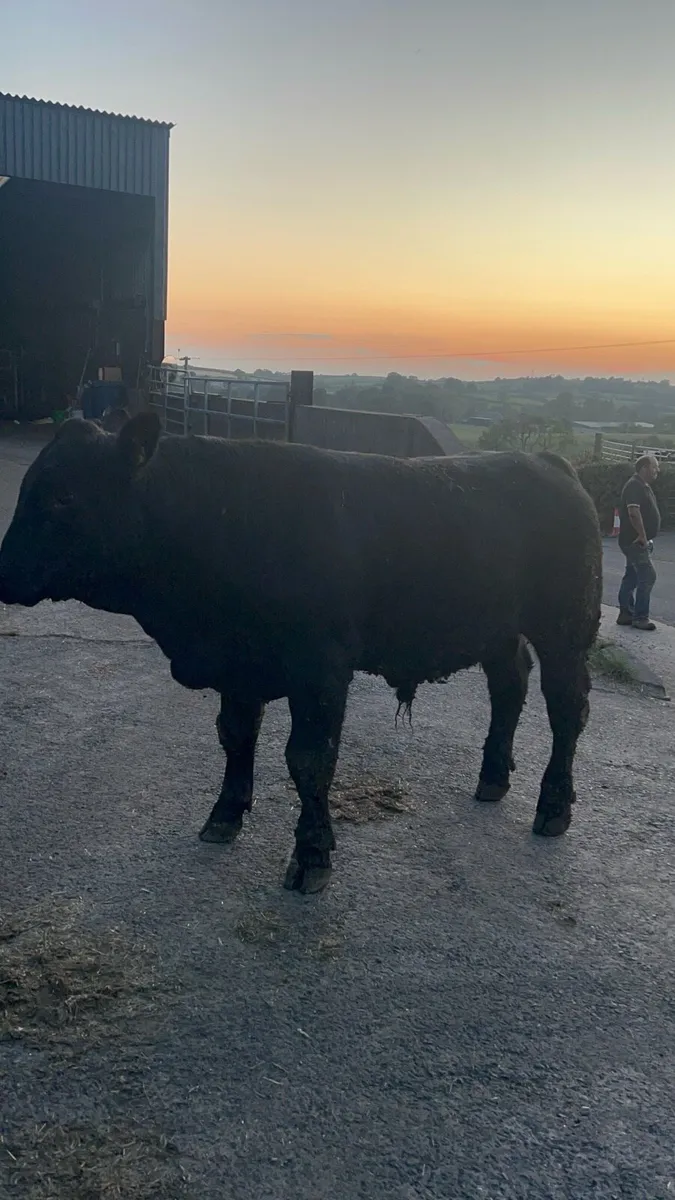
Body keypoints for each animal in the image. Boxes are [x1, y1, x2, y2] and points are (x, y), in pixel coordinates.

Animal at [0, 414, 602, 893]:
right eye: (29, 488)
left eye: (64, 497)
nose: (4, 570)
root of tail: (549, 462)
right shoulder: (239, 665)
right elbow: (235, 737)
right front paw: (224, 815)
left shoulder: (320, 670)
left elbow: (309, 761)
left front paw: (312, 855)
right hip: (498, 629)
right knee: (510, 686)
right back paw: (493, 778)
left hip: (567, 630)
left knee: (566, 709)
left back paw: (553, 806)